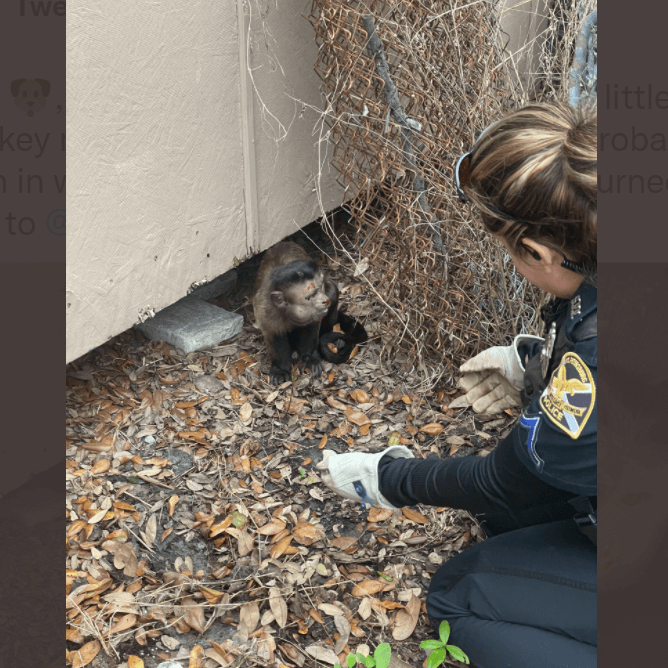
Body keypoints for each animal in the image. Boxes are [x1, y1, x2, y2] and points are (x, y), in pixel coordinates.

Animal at [252, 241, 368, 385]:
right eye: (310, 296)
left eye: (319, 289)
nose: (324, 300)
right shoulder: (265, 310)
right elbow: (274, 334)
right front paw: (280, 368)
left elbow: (311, 327)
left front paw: (309, 358)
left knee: (332, 292)